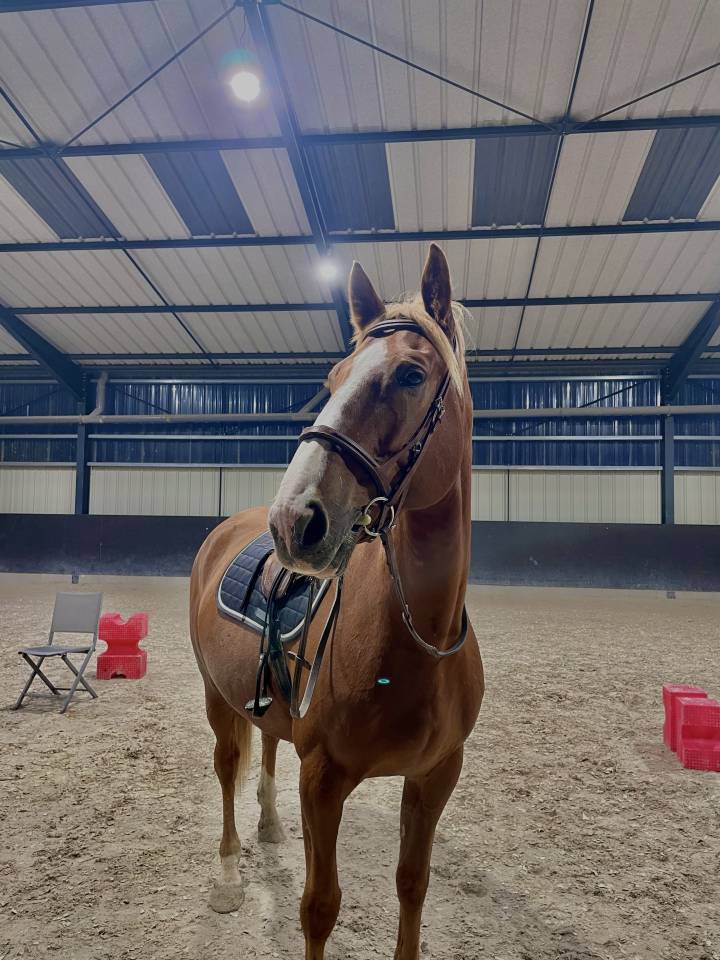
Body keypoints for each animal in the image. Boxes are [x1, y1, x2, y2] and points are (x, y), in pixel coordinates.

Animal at [189, 243, 484, 960]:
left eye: (410, 374)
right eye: (335, 375)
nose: (293, 521)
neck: (418, 639)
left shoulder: (435, 777)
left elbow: (413, 885)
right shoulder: (323, 781)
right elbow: (320, 908)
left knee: (266, 745)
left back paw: (270, 826)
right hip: (215, 697)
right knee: (228, 767)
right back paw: (229, 873)